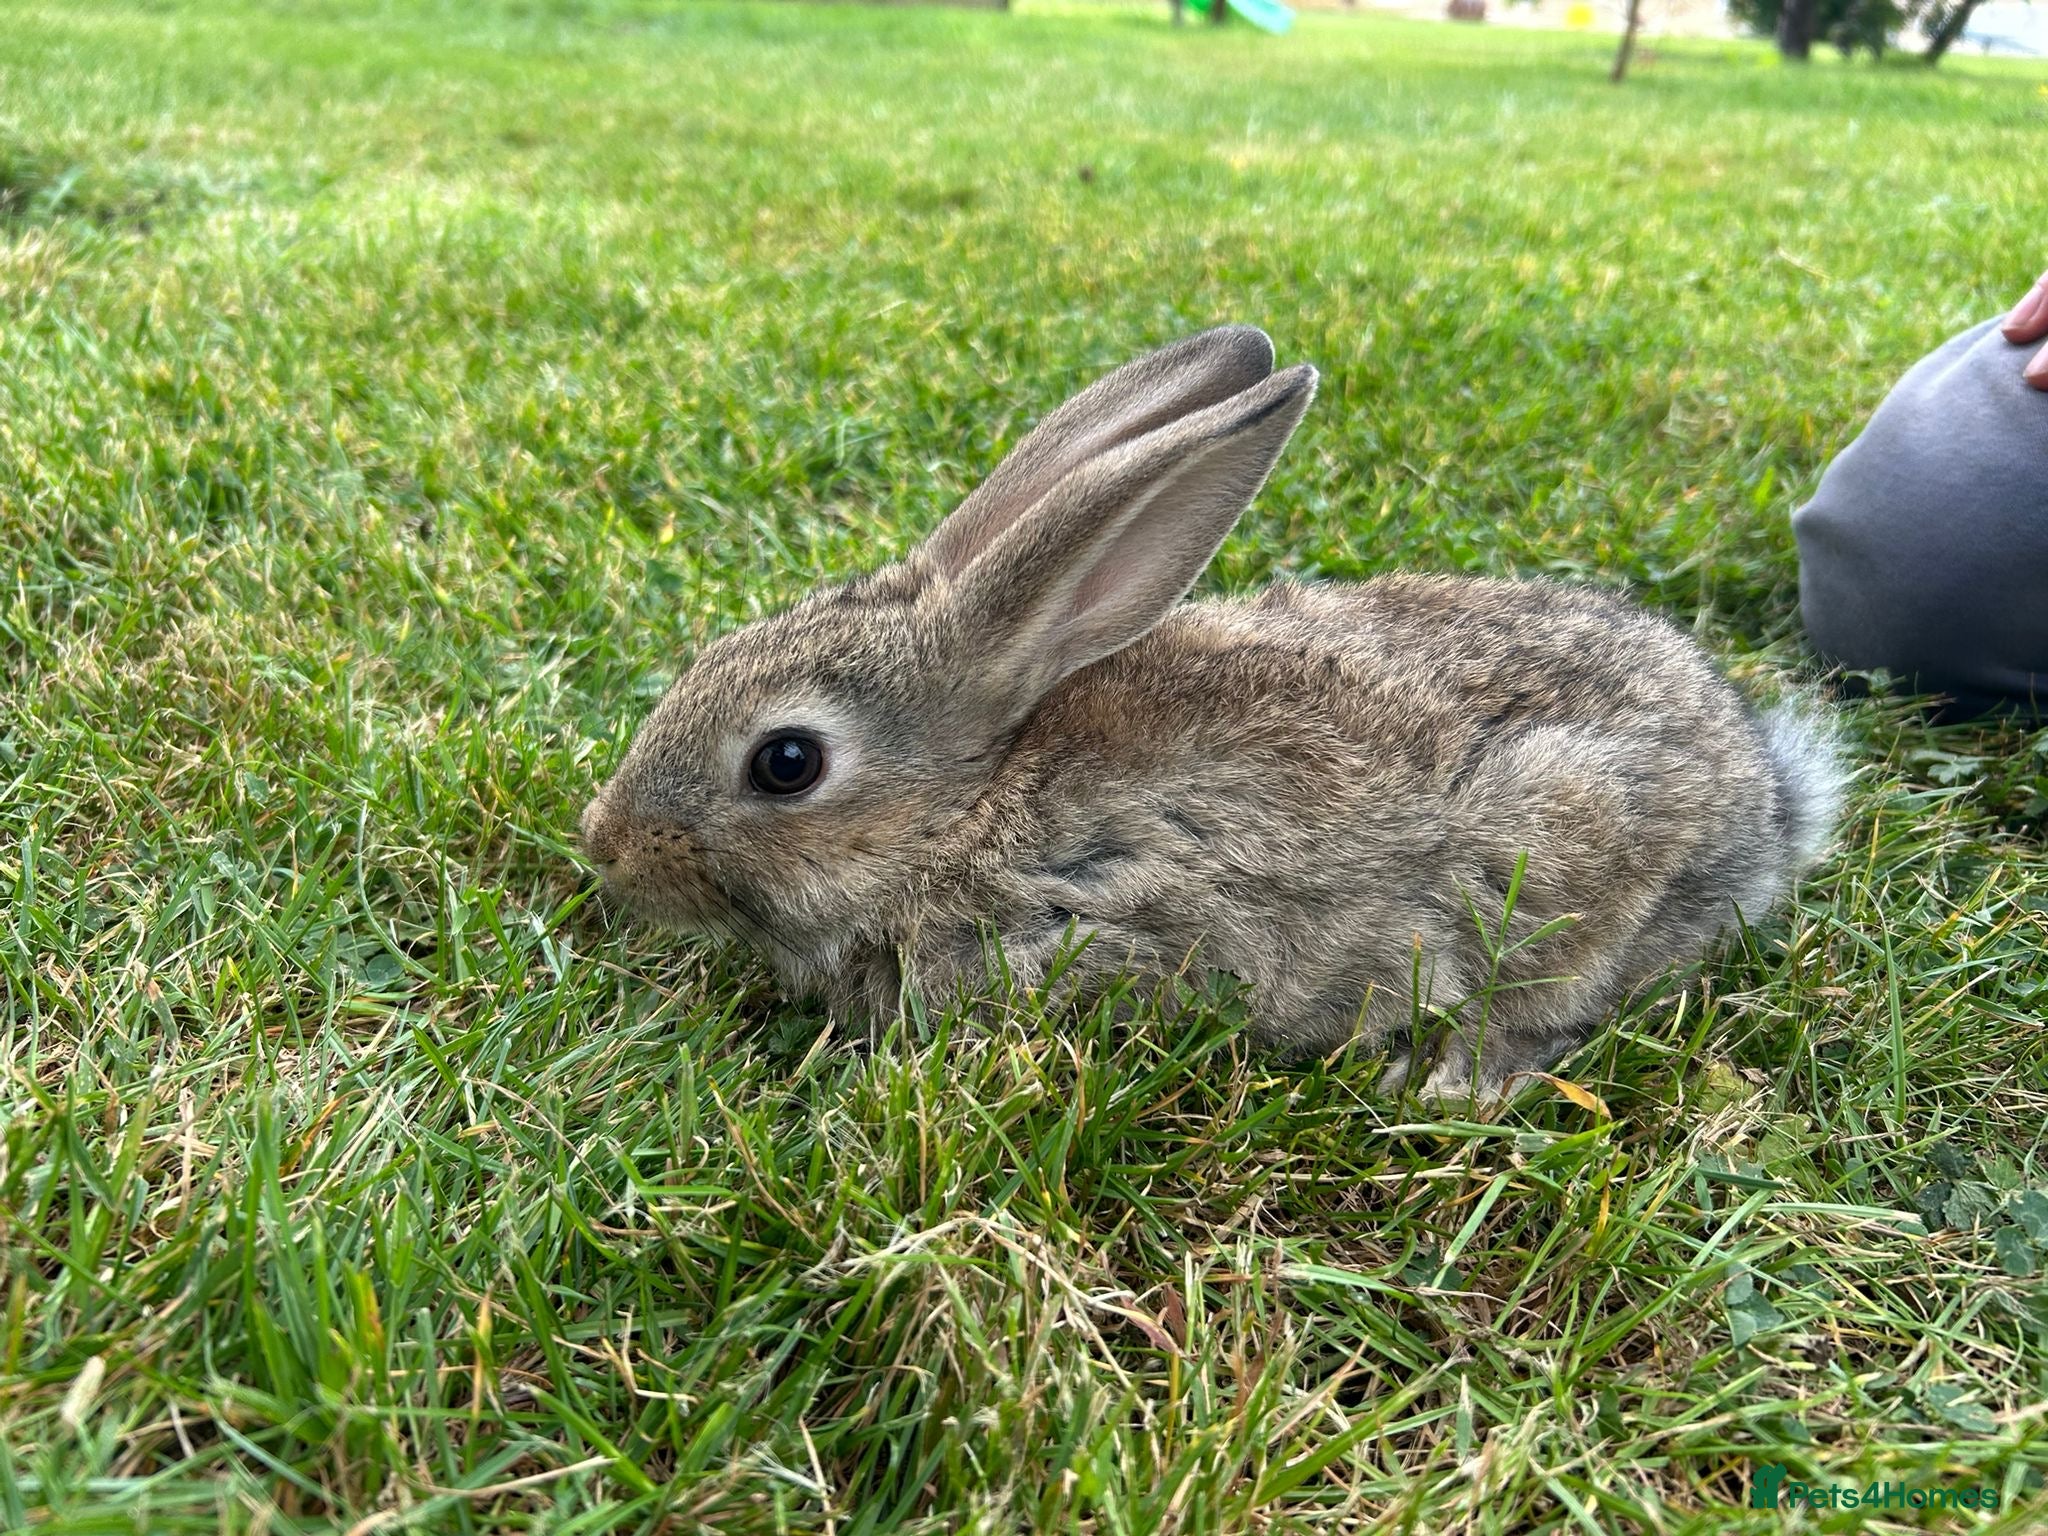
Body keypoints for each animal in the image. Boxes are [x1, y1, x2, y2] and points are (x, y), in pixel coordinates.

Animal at [581, 326, 1843, 1100]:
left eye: (785, 762)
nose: (604, 844)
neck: (963, 810)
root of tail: (1767, 799)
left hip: (1561, 858)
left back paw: (1447, 1078)